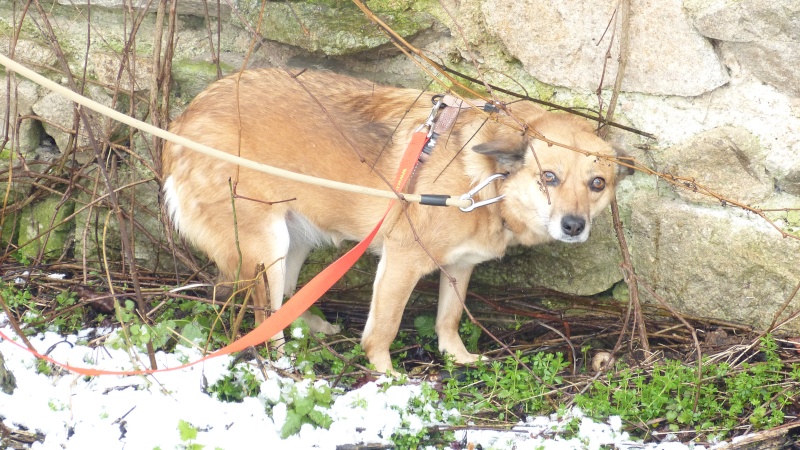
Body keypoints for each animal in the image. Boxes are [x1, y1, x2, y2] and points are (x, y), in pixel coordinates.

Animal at [162, 67, 624, 372]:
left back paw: (311, 328)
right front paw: (386, 375)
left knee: (288, 299)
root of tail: (184, 118)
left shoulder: (459, 267)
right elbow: (383, 328)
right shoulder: (402, 262)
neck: (485, 183)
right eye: (549, 177)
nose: (573, 225)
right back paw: (285, 362)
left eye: (597, 183)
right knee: (264, 318)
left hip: (295, 241)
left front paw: (457, 357)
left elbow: (449, 318)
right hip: (267, 248)